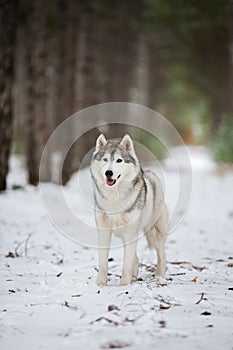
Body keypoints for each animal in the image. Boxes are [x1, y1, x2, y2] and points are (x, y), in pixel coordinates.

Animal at [90, 133, 168, 286]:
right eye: (105, 159)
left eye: (119, 160)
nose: (109, 173)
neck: (114, 198)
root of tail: (150, 174)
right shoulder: (104, 232)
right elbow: (103, 263)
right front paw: (101, 284)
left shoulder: (131, 233)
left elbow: (126, 263)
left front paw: (124, 285)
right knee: (135, 258)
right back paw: (134, 277)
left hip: (156, 232)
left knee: (161, 254)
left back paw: (159, 276)